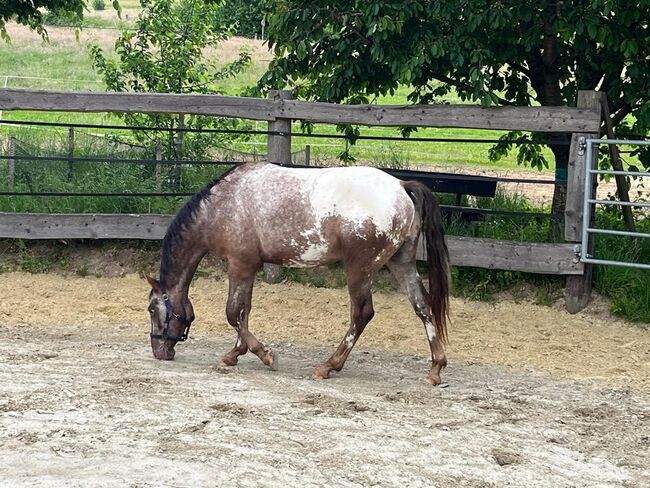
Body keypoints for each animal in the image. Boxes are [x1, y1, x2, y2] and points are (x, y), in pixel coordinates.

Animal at [146, 163, 450, 386]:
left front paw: (266, 356)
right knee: (423, 307)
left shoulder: (239, 265)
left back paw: (328, 366)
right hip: (401, 263)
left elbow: (233, 313)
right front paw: (234, 354)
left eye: (152, 309)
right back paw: (435, 369)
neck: (223, 205)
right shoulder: (248, 268)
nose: (159, 352)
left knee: (362, 314)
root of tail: (401, 186)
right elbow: (244, 311)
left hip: (359, 269)